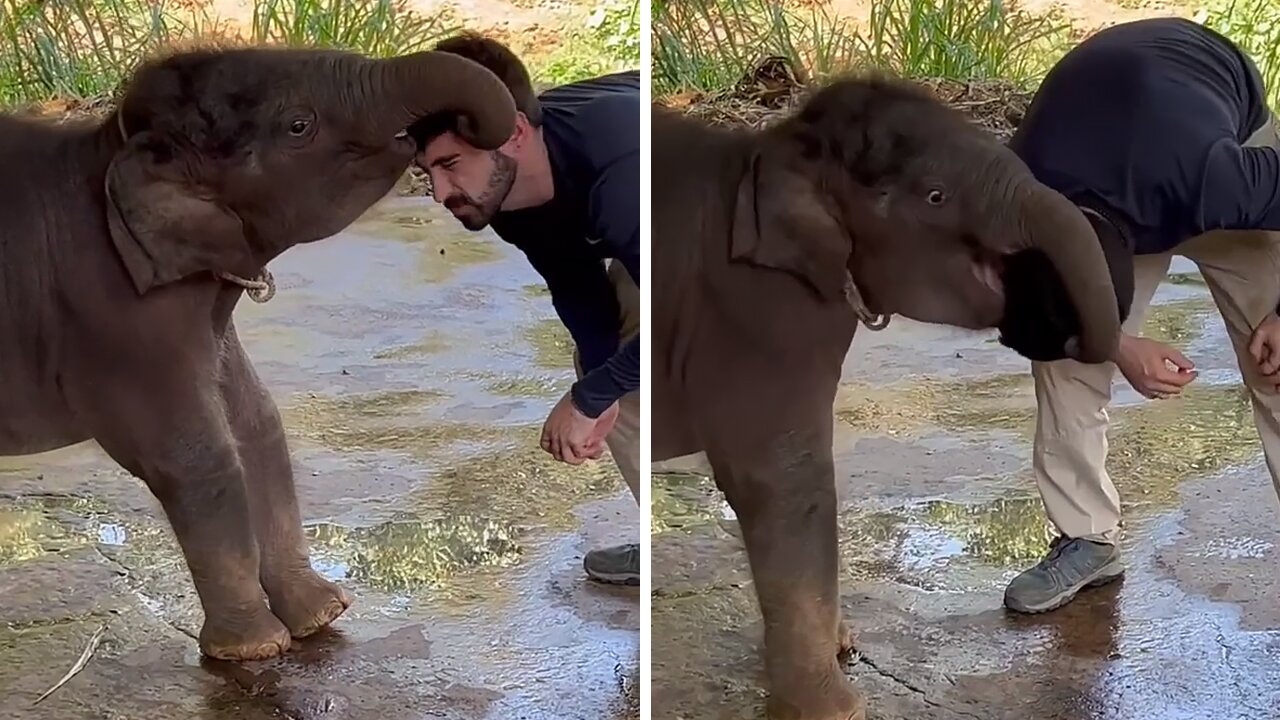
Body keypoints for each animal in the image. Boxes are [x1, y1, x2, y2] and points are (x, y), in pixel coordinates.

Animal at [1, 44, 519, 661]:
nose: (449, 131)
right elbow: (194, 456)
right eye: (299, 125)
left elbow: (259, 425)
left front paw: (321, 616)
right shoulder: (114, 320)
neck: (112, 146)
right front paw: (254, 649)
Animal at [655, 74, 1126, 717]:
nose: (1057, 326)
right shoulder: (754, 311)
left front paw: (843, 646)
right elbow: (783, 478)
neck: (779, 149)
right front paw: (839, 709)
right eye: (935, 197)